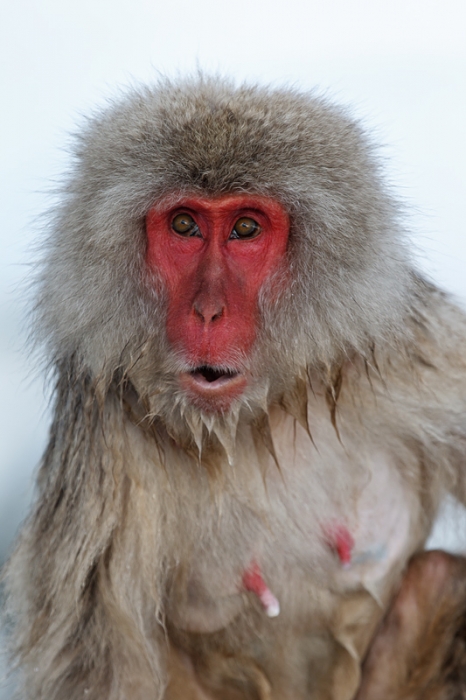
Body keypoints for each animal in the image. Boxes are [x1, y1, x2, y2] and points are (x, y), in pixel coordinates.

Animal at [3, 74, 466, 696]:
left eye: (245, 228)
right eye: (185, 225)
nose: (208, 311)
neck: (254, 418)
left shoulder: (415, 360)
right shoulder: (104, 440)